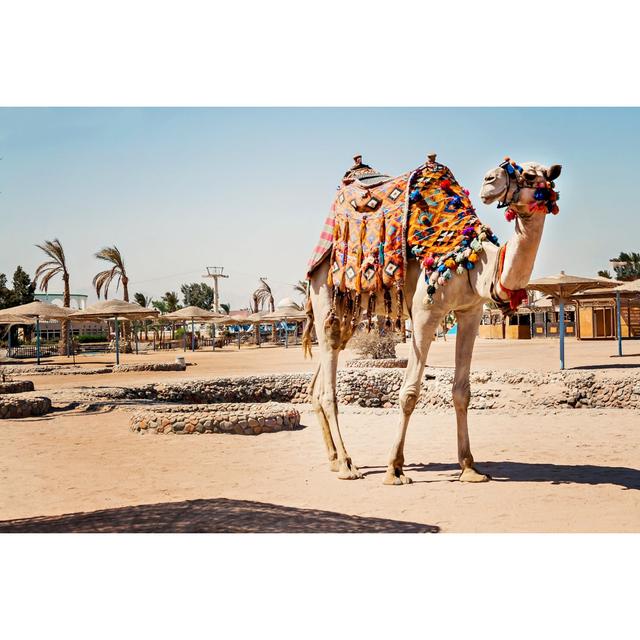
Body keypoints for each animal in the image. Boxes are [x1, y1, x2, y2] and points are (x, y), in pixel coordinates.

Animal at [304, 158, 560, 482]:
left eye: (529, 175)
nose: (490, 180)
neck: (474, 263)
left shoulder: (471, 313)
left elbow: (462, 392)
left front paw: (469, 467)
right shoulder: (425, 312)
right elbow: (409, 394)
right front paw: (394, 468)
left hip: (350, 307)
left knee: (324, 370)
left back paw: (335, 460)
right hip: (323, 288)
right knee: (328, 379)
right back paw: (348, 466)